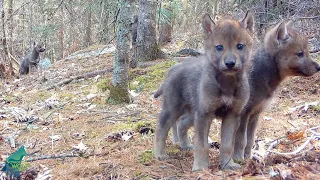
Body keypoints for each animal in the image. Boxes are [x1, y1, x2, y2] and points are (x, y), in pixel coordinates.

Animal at [155, 10, 255, 171]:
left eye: (240, 46)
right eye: (219, 47)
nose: (230, 63)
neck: (227, 84)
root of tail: (172, 69)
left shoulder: (231, 115)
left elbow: (227, 145)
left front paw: (227, 165)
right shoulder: (205, 115)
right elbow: (202, 145)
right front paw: (200, 167)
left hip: (192, 112)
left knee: (181, 124)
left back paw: (185, 145)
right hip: (173, 109)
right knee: (161, 128)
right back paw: (160, 154)